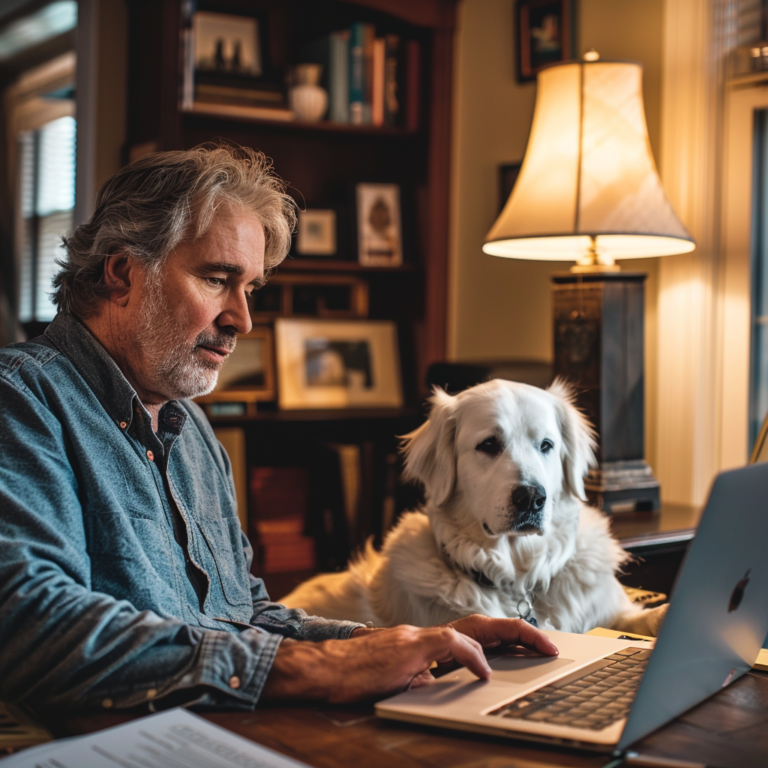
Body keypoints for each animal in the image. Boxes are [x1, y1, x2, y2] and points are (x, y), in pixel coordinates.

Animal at [280, 380, 664, 636]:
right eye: (489, 445)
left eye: (547, 445)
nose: (532, 498)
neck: (518, 582)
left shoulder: (610, 609)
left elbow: (642, 615)